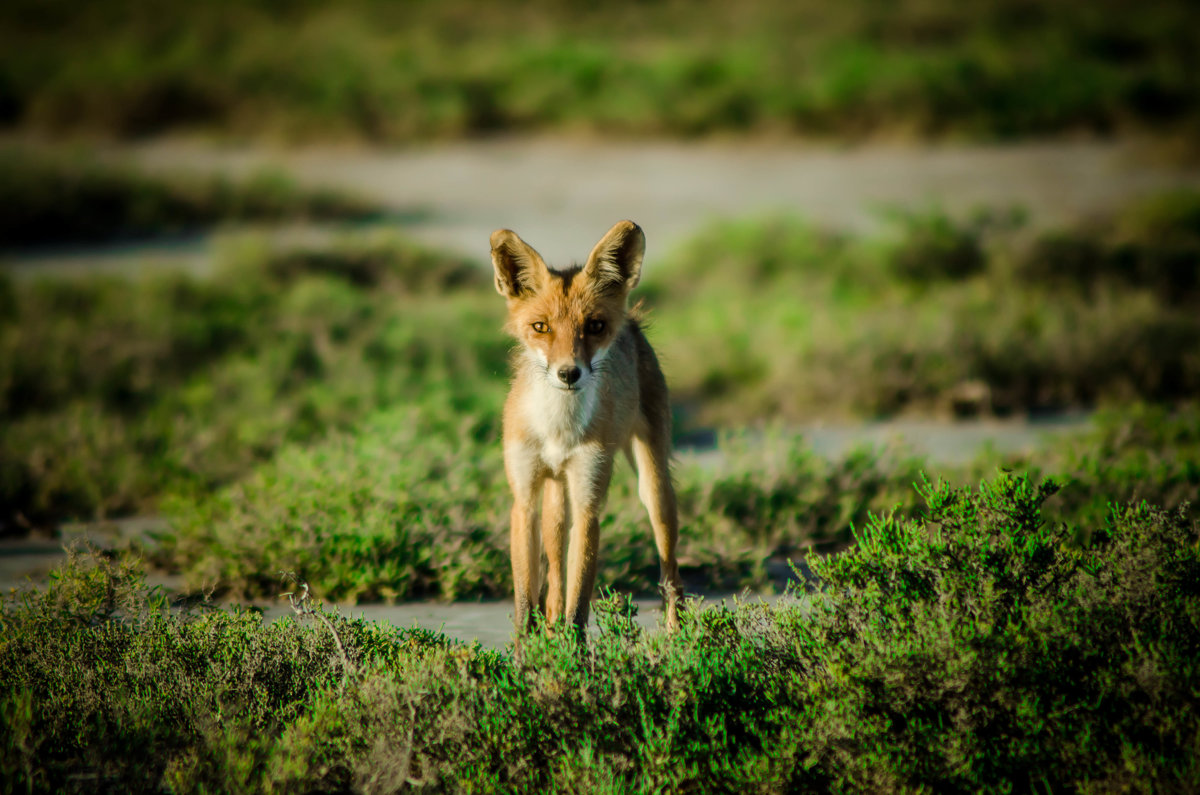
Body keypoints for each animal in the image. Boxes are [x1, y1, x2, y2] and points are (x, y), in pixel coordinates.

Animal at [489, 219, 686, 643]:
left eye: (595, 326)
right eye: (541, 327)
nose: (568, 373)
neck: (558, 431)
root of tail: (633, 323)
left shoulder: (588, 501)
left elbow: (579, 604)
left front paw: (573, 656)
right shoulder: (524, 500)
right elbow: (526, 599)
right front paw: (525, 653)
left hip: (655, 490)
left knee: (671, 574)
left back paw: (681, 637)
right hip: (553, 502)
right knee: (554, 579)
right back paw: (548, 628)